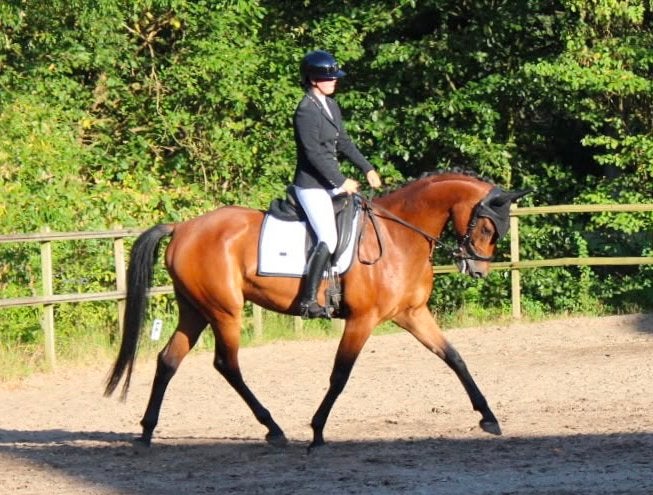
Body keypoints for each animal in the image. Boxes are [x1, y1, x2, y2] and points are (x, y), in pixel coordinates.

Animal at [105, 171, 528, 449]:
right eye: (486, 229)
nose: (477, 269)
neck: (398, 236)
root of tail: (184, 227)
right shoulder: (362, 320)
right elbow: (340, 375)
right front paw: (318, 432)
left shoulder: (411, 314)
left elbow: (454, 357)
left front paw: (488, 417)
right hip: (224, 311)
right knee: (227, 365)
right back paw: (273, 428)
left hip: (195, 310)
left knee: (168, 360)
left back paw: (146, 432)